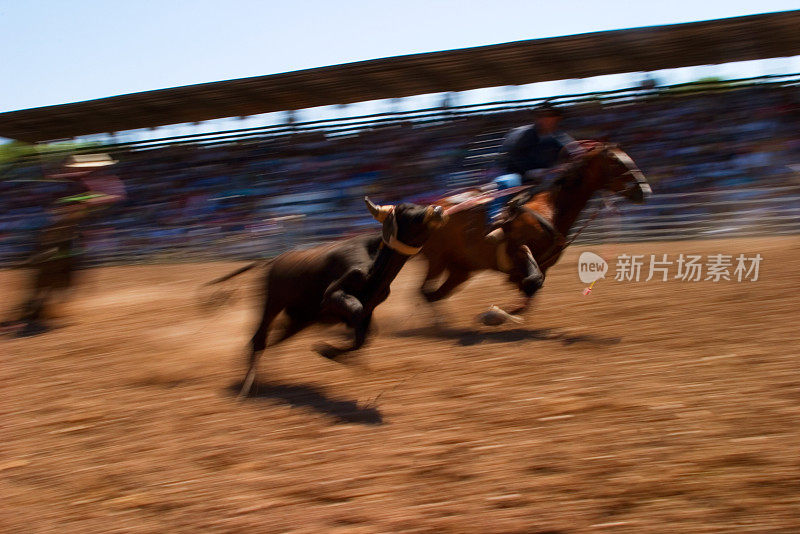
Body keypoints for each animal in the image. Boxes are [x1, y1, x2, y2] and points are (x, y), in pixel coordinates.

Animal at [418, 142, 648, 318]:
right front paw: (496, 315)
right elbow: (532, 281)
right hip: (437, 258)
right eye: (616, 162)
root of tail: (434, 207)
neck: (552, 208)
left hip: (461, 268)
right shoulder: (519, 247)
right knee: (425, 292)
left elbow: (532, 289)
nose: (644, 191)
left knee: (435, 294)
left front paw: (500, 314)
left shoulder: (544, 265)